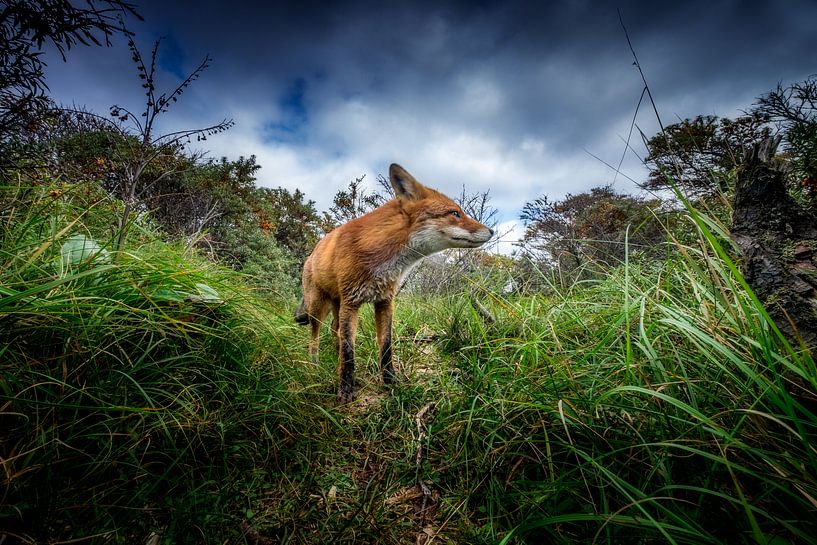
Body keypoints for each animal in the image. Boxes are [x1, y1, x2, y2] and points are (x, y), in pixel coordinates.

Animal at [295, 163, 494, 402]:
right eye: (455, 213)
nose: (492, 231)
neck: (380, 257)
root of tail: (311, 254)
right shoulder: (352, 302)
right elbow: (349, 351)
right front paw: (346, 390)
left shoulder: (385, 301)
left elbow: (385, 347)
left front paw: (391, 382)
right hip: (319, 306)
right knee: (315, 336)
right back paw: (313, 365)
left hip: (337, 305)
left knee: (336, 332)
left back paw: (335, 360)